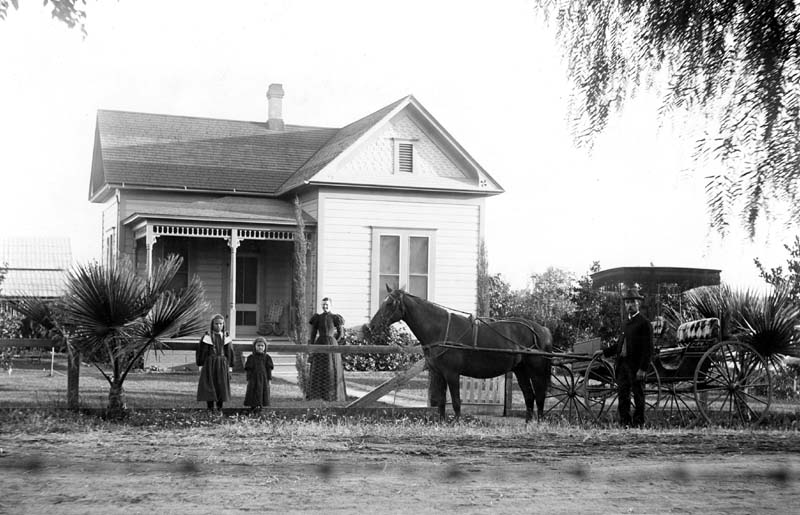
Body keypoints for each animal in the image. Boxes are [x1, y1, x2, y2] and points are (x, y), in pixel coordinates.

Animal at [370, 286, 552, 424]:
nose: (371, 326)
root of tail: (542, 329)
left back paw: (539, 422)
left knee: (540, 395)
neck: (441, 330)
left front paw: (457, 423)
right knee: (529, 395)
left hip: (536, 371)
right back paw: (528, 423)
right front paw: (441, 423)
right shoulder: (439, 373)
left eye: (390, 303)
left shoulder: (452, 374)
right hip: (521, 371)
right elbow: (442, 401)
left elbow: (456, 401)